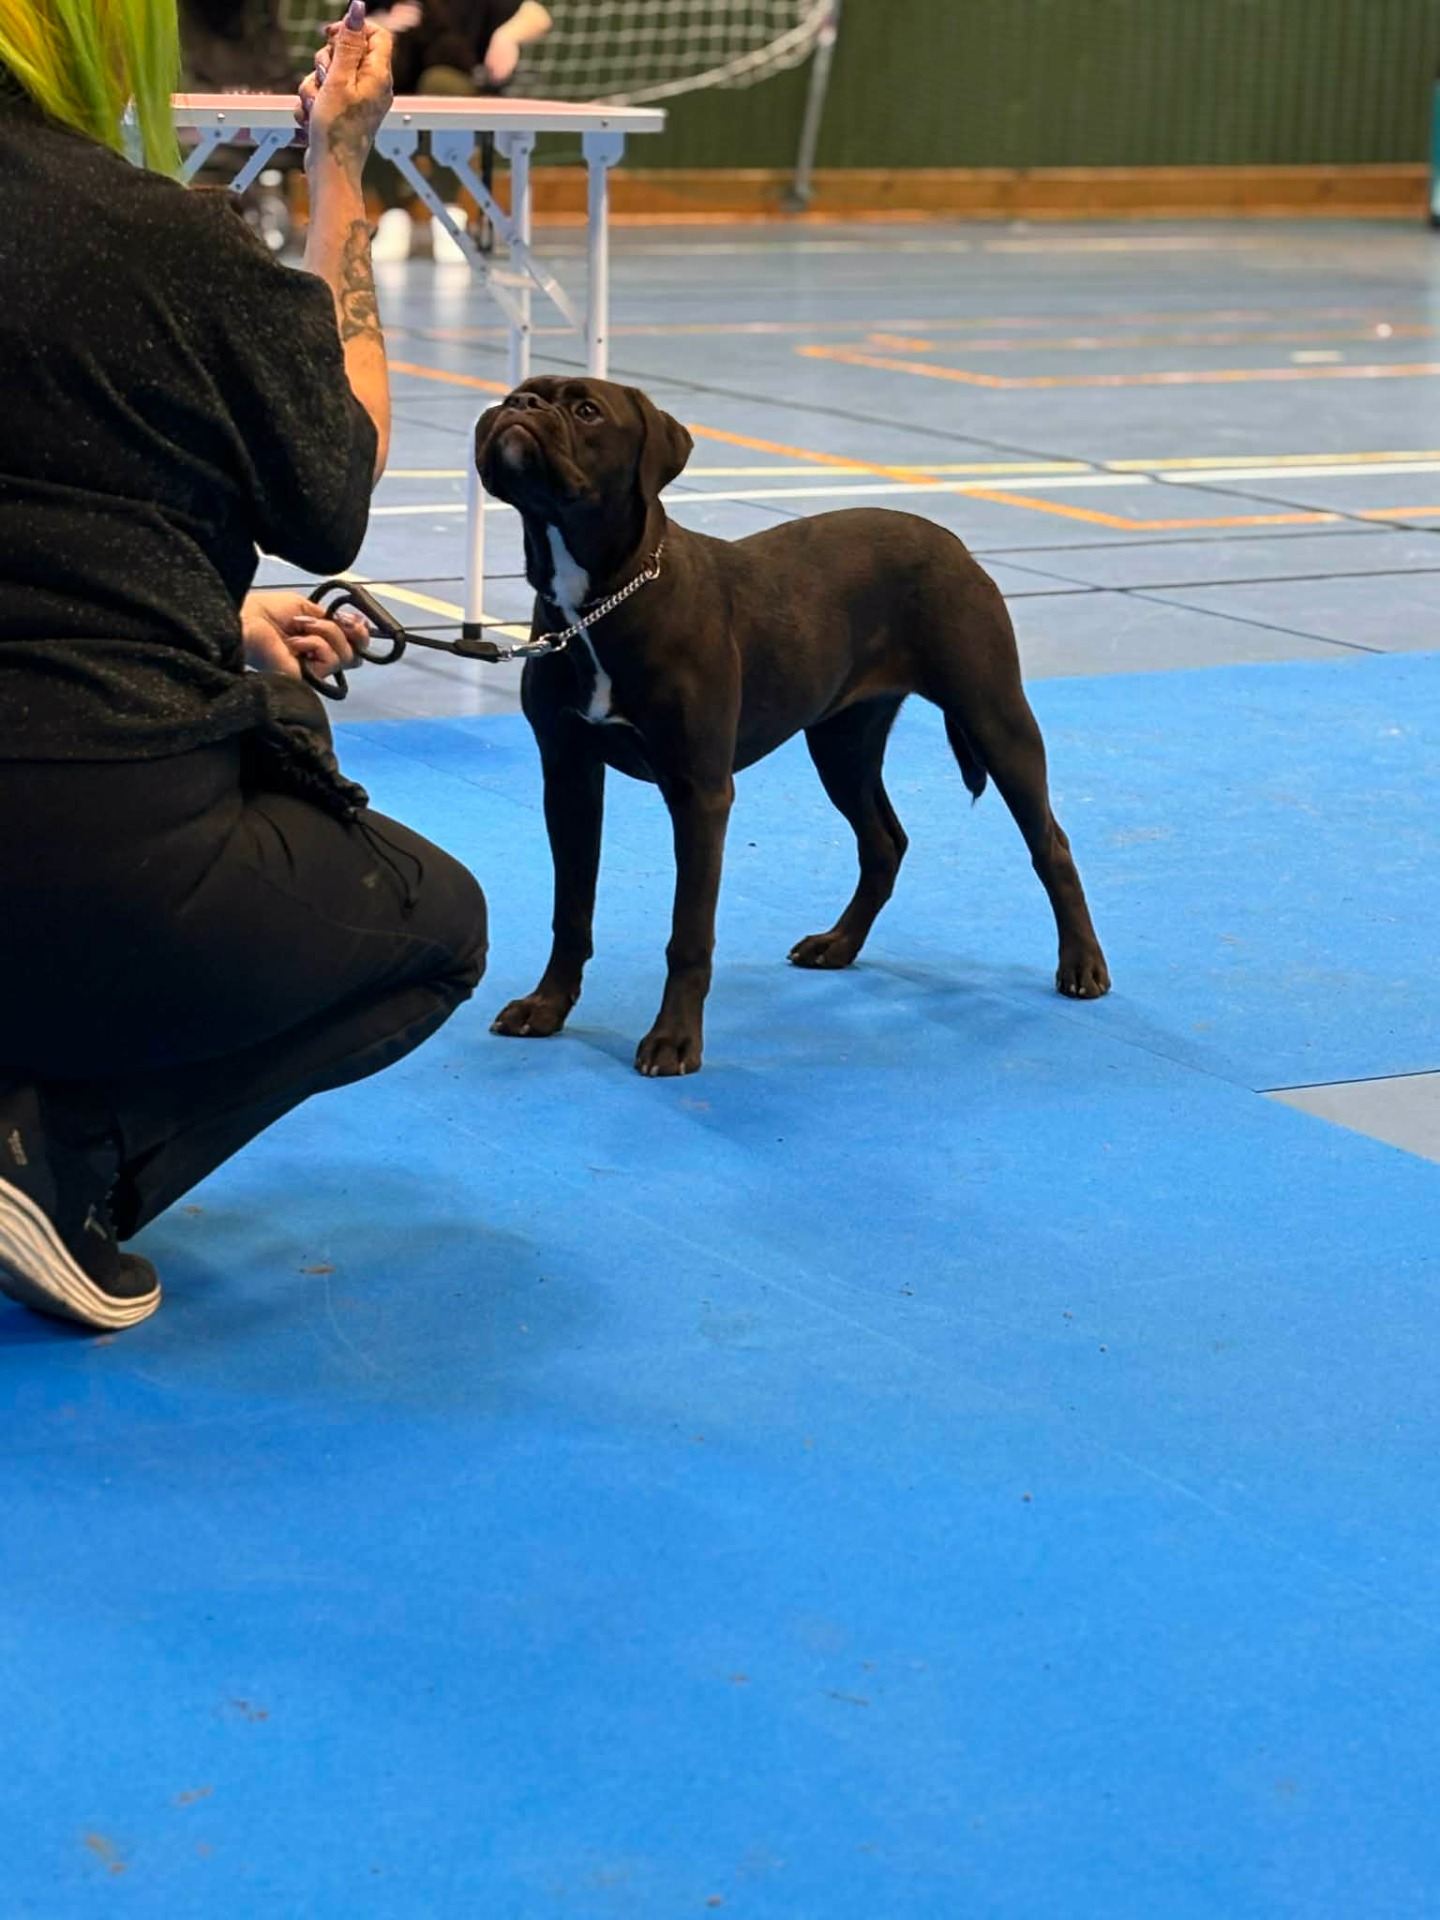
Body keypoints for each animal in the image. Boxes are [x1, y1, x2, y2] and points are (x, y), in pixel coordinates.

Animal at [478, 375, 1110, 1077]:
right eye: (520, 392)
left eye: (587, 411)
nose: (521, 408)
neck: (595, 599)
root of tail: (953, 543)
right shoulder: (568, 774)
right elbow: (571, 909)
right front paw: (547, 1007)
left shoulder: (698, 792)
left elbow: (688, 932)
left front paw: (674, 1041)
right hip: (841, 743)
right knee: (884, 843)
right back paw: (838, 944)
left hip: (995, 717)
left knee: (1050, 843)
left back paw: (1082, 966)